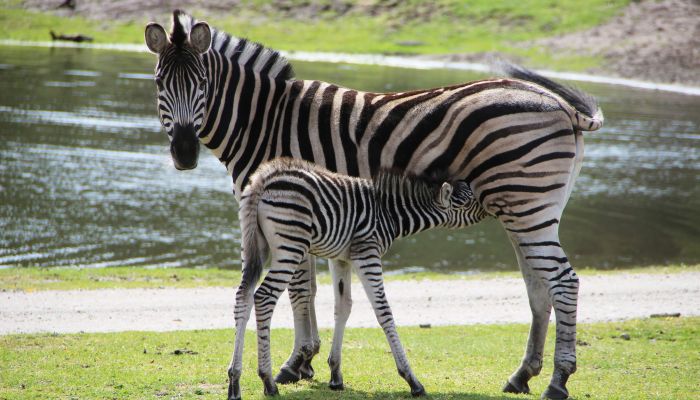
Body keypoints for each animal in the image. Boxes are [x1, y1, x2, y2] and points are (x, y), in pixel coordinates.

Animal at [144, 9, 600, 400]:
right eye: (160, 84)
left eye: (201, 85)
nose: (184, 153)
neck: (265, 121)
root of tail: (562, 106)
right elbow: (314, 291)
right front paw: (309, 362)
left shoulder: (297, 211)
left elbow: (300, 289)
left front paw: (296, 362)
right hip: (527, 209)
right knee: (539, 287)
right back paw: (523, 375)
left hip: (527, 204)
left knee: (563, 281)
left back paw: (558, 380)